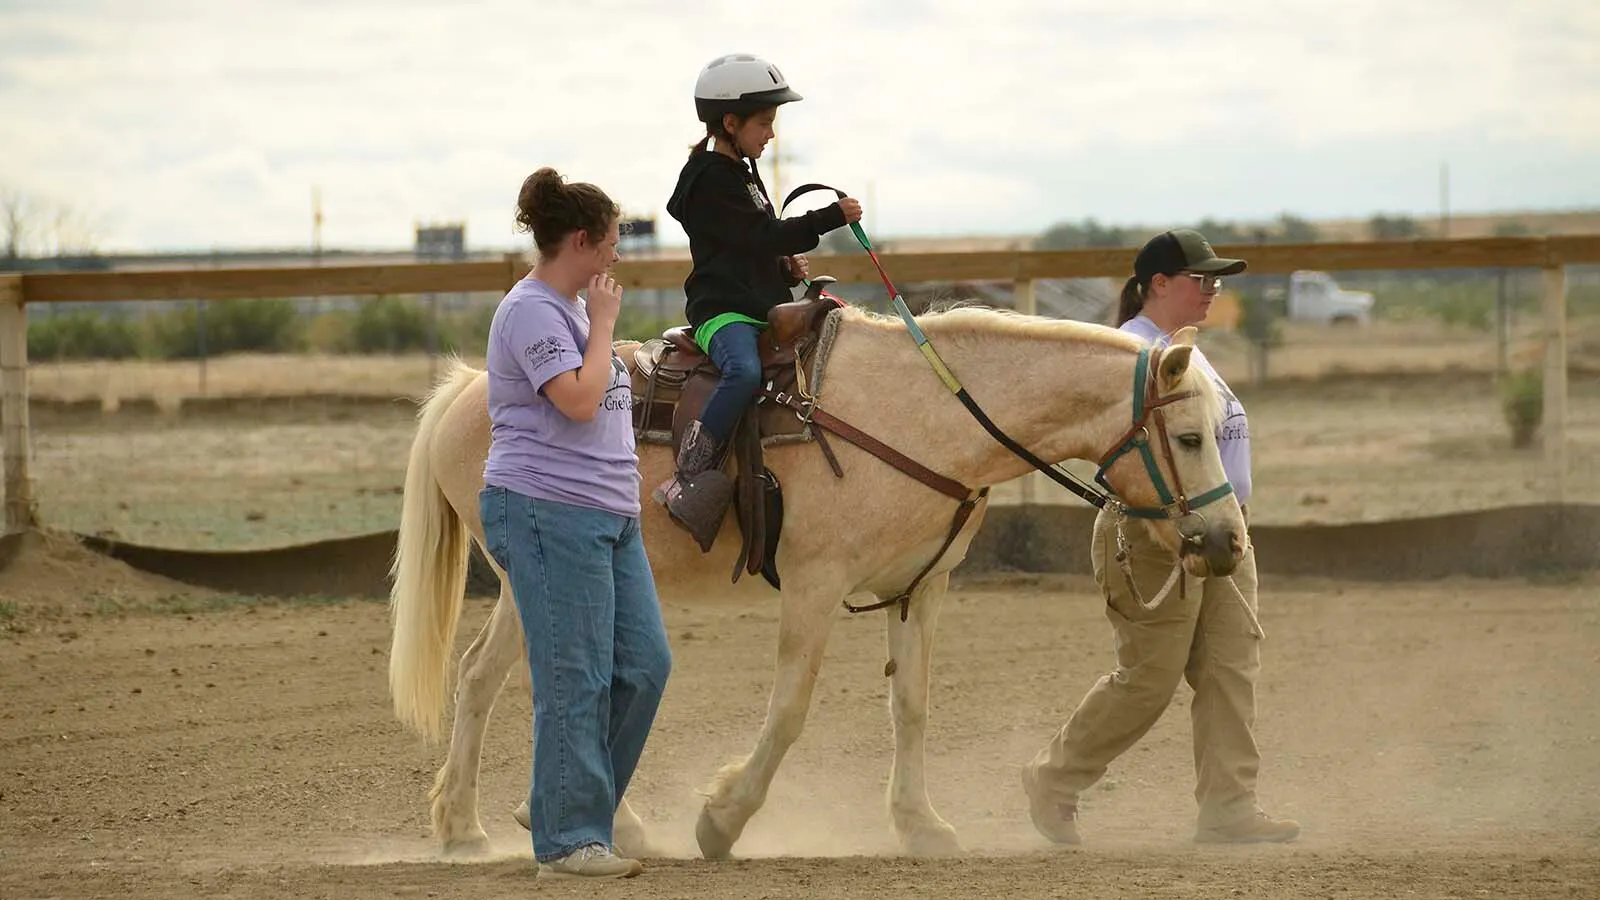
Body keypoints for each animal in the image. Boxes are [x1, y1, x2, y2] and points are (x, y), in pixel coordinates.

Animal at [386, 302, 1247, 860]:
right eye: (1190, 435)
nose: (1228, 542)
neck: (922, 417)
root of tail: (466, 389)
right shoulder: (813, 585)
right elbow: (791, 710)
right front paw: (723, 820)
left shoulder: (921, 589)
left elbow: (911, 707)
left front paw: (921, 825)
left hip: (524, 585)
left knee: (480, 678)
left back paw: (469, 828)